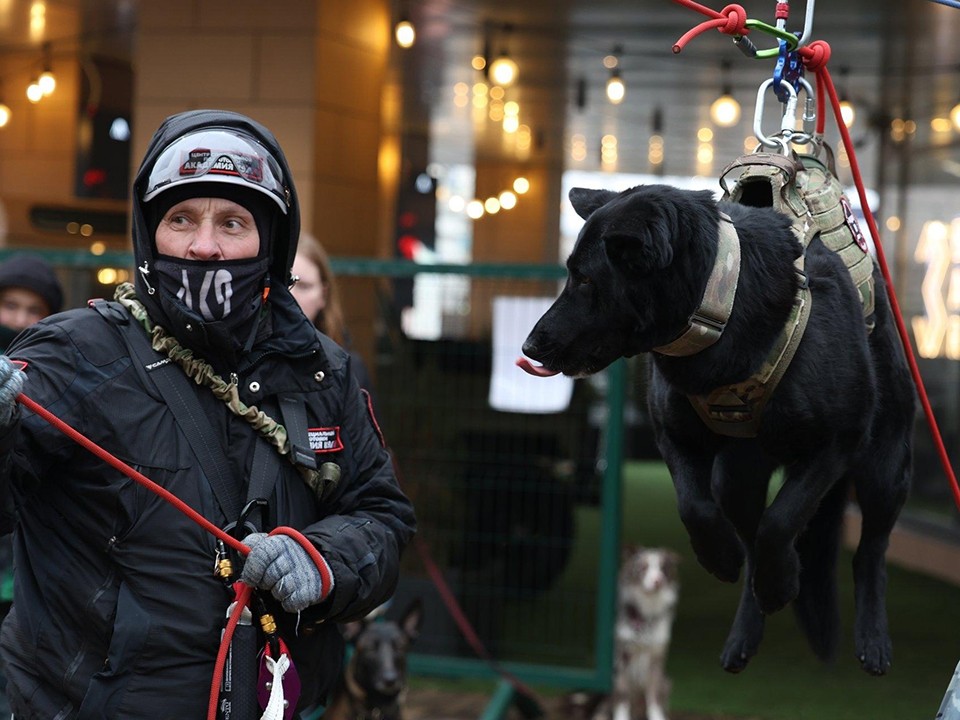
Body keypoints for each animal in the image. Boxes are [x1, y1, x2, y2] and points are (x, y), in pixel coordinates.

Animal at [516, 184, 916, 676]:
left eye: (586, 280)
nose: (529, 347)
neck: (724, 309)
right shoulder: (674, 437)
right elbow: (695, 507)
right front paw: (723, 558)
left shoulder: (834, 445)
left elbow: (781, 519)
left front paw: (782, 582)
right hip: (737, 479)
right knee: (751, 538)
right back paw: (745, 630)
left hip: (885, 467)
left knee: (869, 551)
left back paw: (871, 637)